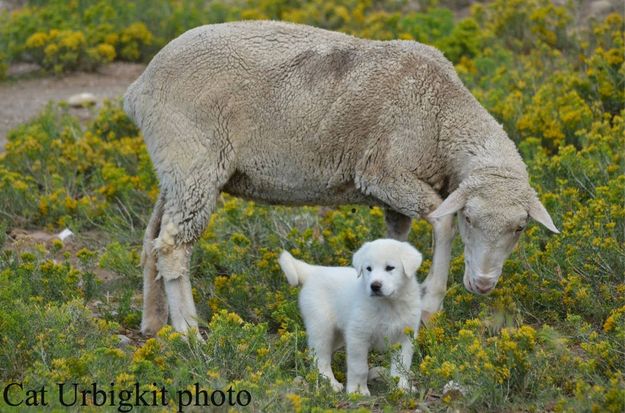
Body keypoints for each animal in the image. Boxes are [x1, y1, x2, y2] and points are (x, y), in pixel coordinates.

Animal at [124, 20, 560, 334]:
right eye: (471, 219)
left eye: (520, 228)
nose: (484, 284)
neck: (440, 114)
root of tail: (138, 88)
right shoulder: (384, 174)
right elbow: (442, 221)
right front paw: (430, 305)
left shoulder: (394, 196)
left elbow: (395, 244)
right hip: (194, 162)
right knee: (172, 247)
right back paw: (190, 334)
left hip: (175, 169)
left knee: (151, 240)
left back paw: (153, 324)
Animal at [280, 240, 422, 394]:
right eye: (368, 268)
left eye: (390, 268)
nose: (375, 286)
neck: (388, 304)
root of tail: (314, 271)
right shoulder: (358, 337)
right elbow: (359, 368)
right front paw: (357, 391)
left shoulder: (405, 338)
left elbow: (401, 367)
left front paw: (402, 387)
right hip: (321, 329)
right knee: (320, 358)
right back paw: (330, 383)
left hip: (337, 336)